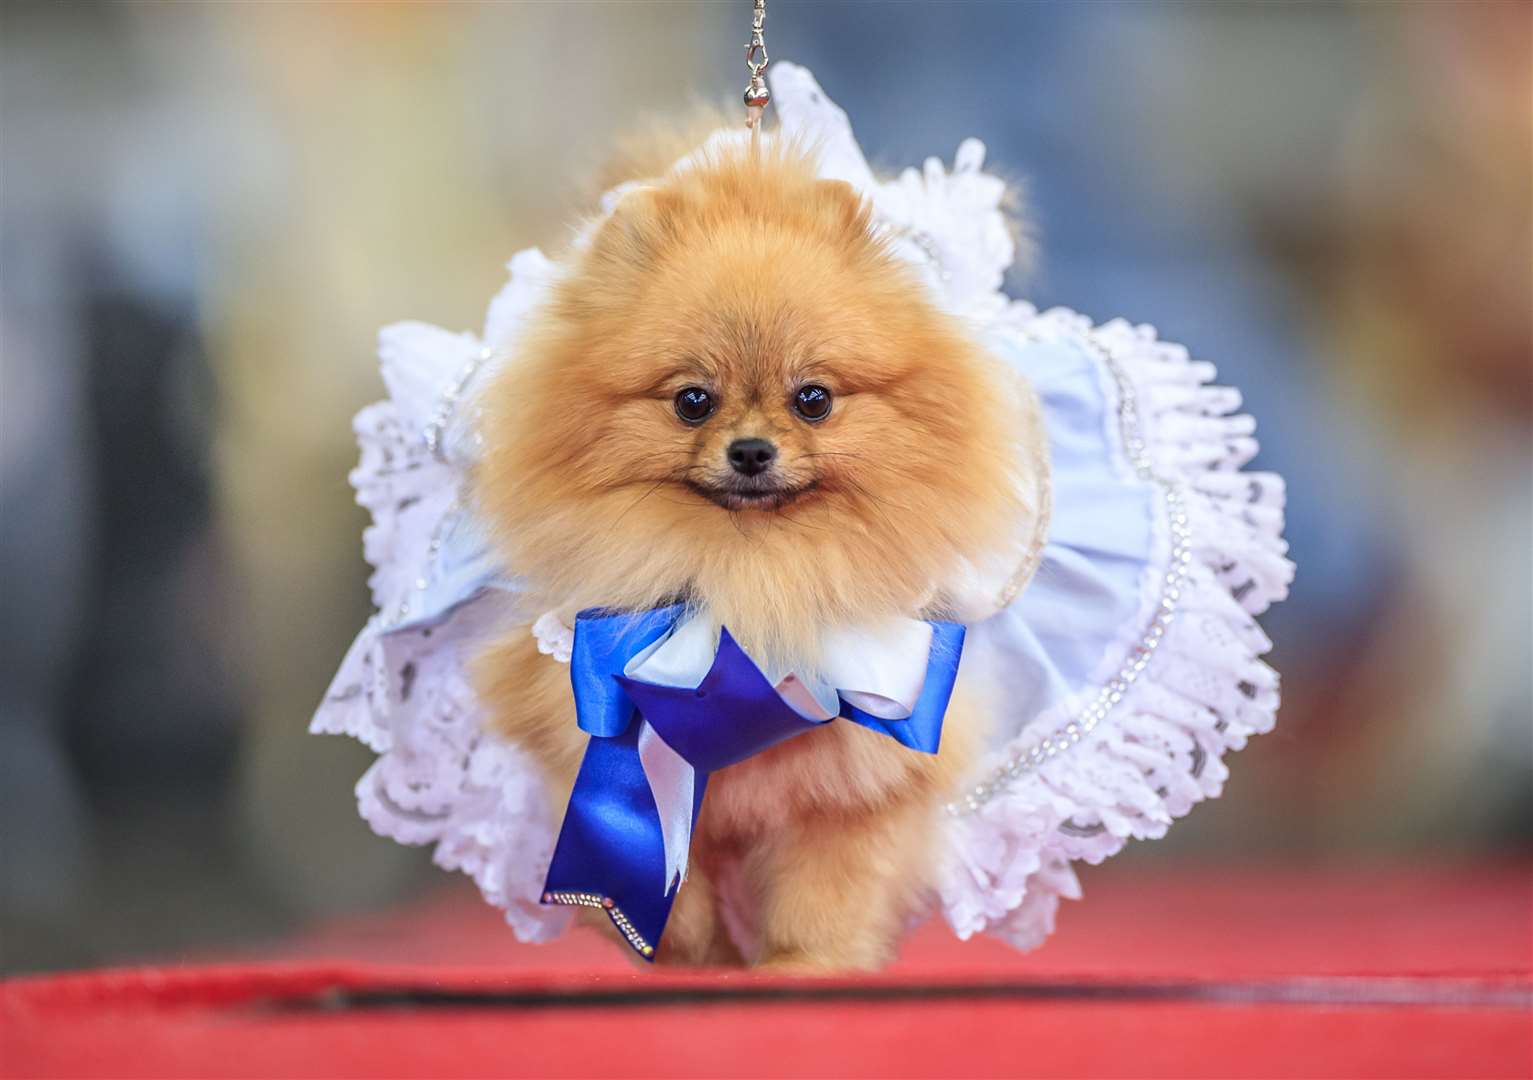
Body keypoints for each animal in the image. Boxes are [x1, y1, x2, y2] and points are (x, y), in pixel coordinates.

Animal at [472, 134, 1048, 968]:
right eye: (692, 401)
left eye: (813, 399)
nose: (750, 450)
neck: (752, 581)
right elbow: (674, 889)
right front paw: (690, 955)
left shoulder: (856, 772)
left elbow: (826, 892)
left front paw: (804, 964)